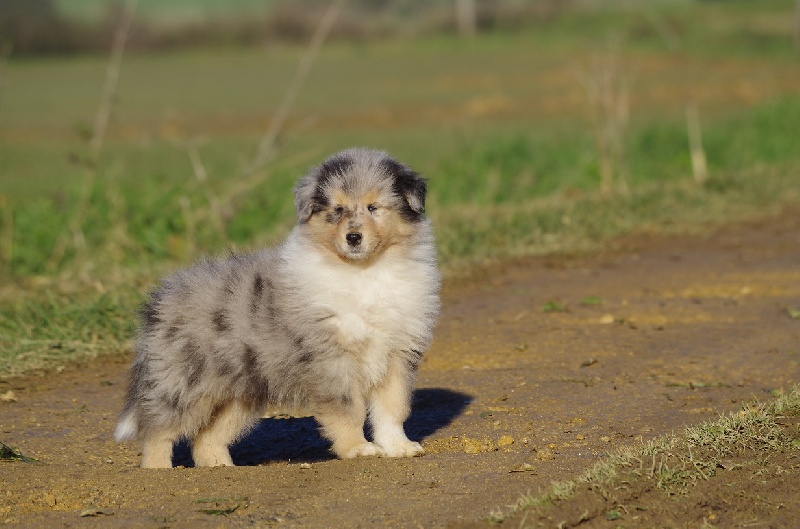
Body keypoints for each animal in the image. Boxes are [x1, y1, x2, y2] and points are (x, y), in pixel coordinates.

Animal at [115, 147, 440, 466]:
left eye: (374, 207)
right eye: (336, 210)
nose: (353, 238)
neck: (364, 271)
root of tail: (161, 296)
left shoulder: (397, 352)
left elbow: (392, 408)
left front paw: (398, 446)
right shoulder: (332, 359)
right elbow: (350, 410)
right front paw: (357, 448)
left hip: (240, 392)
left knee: (207, 437)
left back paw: (223, 467)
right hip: (185, 381)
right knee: (157, 429)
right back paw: (159, 469)